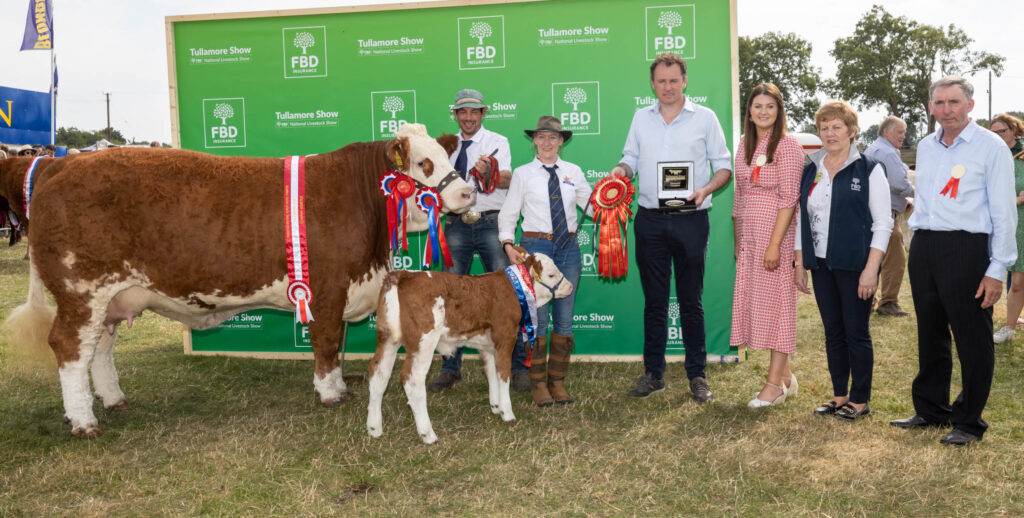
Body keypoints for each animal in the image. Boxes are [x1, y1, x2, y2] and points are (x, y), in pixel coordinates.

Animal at [0, 123, 471, 434]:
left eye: (448, 157)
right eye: (424, 162)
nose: (467, 192)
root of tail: (60, 168)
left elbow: (333, 345)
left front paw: (336, 386)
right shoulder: (327, 287)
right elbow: (326, 342)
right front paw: (332, 393)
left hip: (111, 297)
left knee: (100, 347)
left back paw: (114, 400)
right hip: (81, 290)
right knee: (70, 349)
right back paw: (84, 420)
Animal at [368, 252, 577, 442]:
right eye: (551, 274)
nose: (570, 286)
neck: (514, 289)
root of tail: (402, 274)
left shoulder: (488, 346)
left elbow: (492, 373)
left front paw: (496, 407)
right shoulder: (505, 337)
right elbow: (503, 375)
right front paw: (508, 413)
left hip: (387, 338)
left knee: (378, 375)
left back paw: (374, 428)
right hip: (423, 343)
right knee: (412, 379)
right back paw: (428, 434)